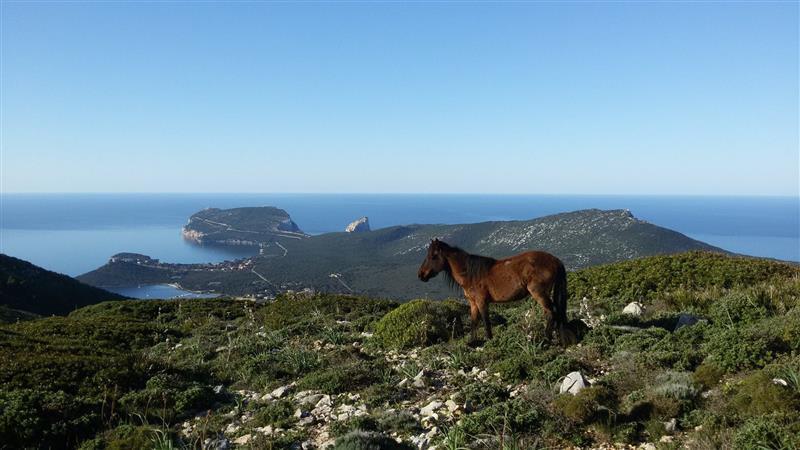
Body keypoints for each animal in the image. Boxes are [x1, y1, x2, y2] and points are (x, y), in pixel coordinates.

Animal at [416, 241, 572, 342]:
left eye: (433, 256)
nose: (421, 275)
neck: (471, 274)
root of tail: (555, 260)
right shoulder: (473, 303)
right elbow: (474, 322)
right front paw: (472, 343)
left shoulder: (482, 302)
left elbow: (486, 321)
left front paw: (490, 341)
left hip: (538, 293)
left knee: (550, 312)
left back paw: (546, 339)